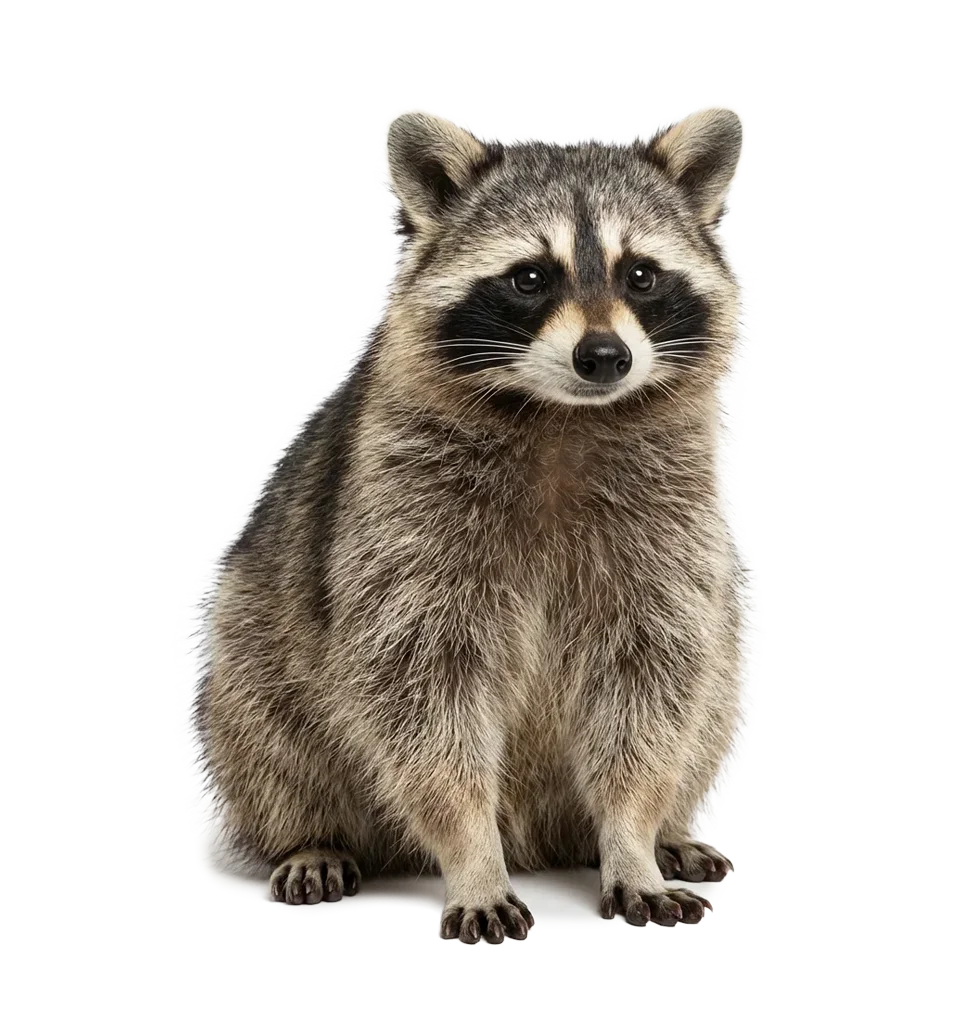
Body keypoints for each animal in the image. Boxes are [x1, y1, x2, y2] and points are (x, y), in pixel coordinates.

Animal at [191, 106, 749, 943]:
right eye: (530, 278)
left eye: (641, 275)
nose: (605, 356)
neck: (561, 414)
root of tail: (539, 835)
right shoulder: (401, 512)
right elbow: (421, 691)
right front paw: (471, 854)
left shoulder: (669, 520)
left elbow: (651, 676)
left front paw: (632, 836)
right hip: (252, 635)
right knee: (262, 722)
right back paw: (309, 832)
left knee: (715, 682)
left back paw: (666, 830)